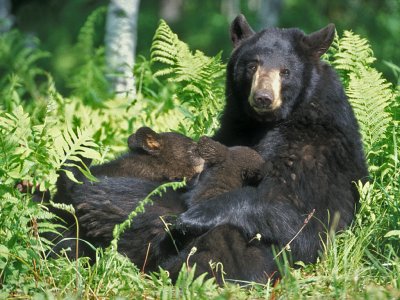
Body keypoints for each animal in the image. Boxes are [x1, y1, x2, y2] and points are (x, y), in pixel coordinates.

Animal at [162, 15, 366, 284]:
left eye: (285, 71)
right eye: (252, 66)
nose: (263, 97)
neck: (266, 123)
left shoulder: (314, 146)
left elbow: (299, 214)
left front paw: (194, 216)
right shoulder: (233, 127)